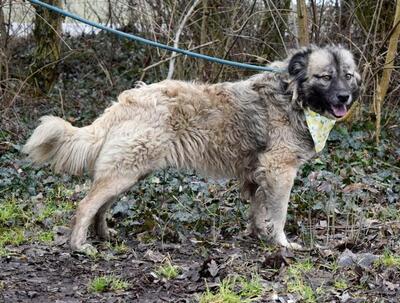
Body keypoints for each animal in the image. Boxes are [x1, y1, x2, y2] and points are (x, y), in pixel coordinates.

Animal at [22, 45, 360, 254]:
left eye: (348, 75)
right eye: (325, 77)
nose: (344, 97)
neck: (293, 95)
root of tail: (124, 102)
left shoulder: (256, 174)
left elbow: (257, 209)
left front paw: (256, 235)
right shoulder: (279, 172)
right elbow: (278, 213)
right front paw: (281, 244)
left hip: (129, 173)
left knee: (101, 206)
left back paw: (104, 235)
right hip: (125, 172)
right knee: (86, 206)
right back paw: (80, 245)